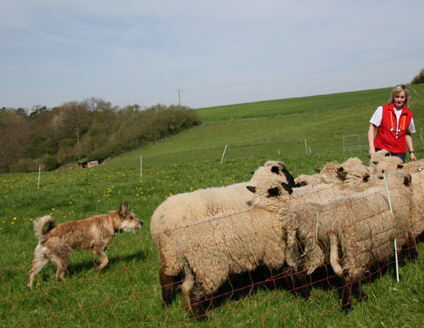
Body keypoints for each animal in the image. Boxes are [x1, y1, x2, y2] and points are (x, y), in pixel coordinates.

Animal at [151, 160, 294, 306]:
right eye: (285, 171)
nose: (294, 183)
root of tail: (156, 217)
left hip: (167, 251)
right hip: (172, 251)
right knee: (166, 275)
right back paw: (167, 302)